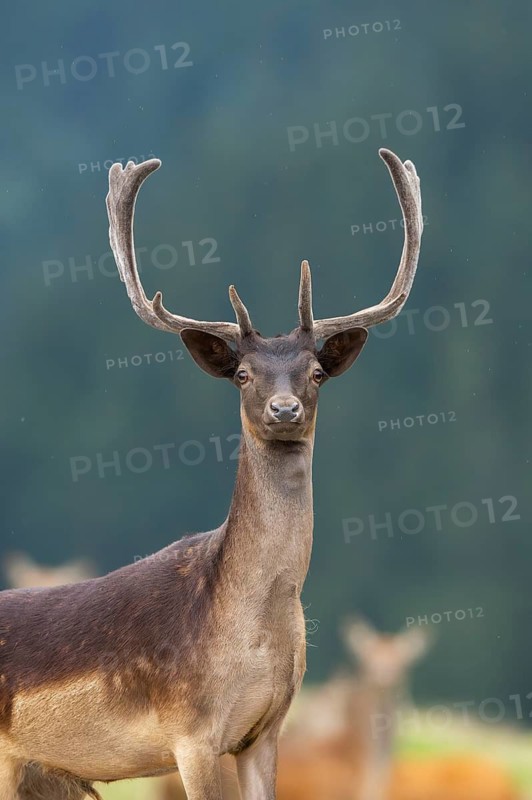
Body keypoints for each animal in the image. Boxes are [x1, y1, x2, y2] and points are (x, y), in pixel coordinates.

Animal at [0, 147, 422, 800]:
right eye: (244, 374)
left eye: (316, 373)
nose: (284, 410)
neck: (258, 631)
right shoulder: (192, 733)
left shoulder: (264, 732)